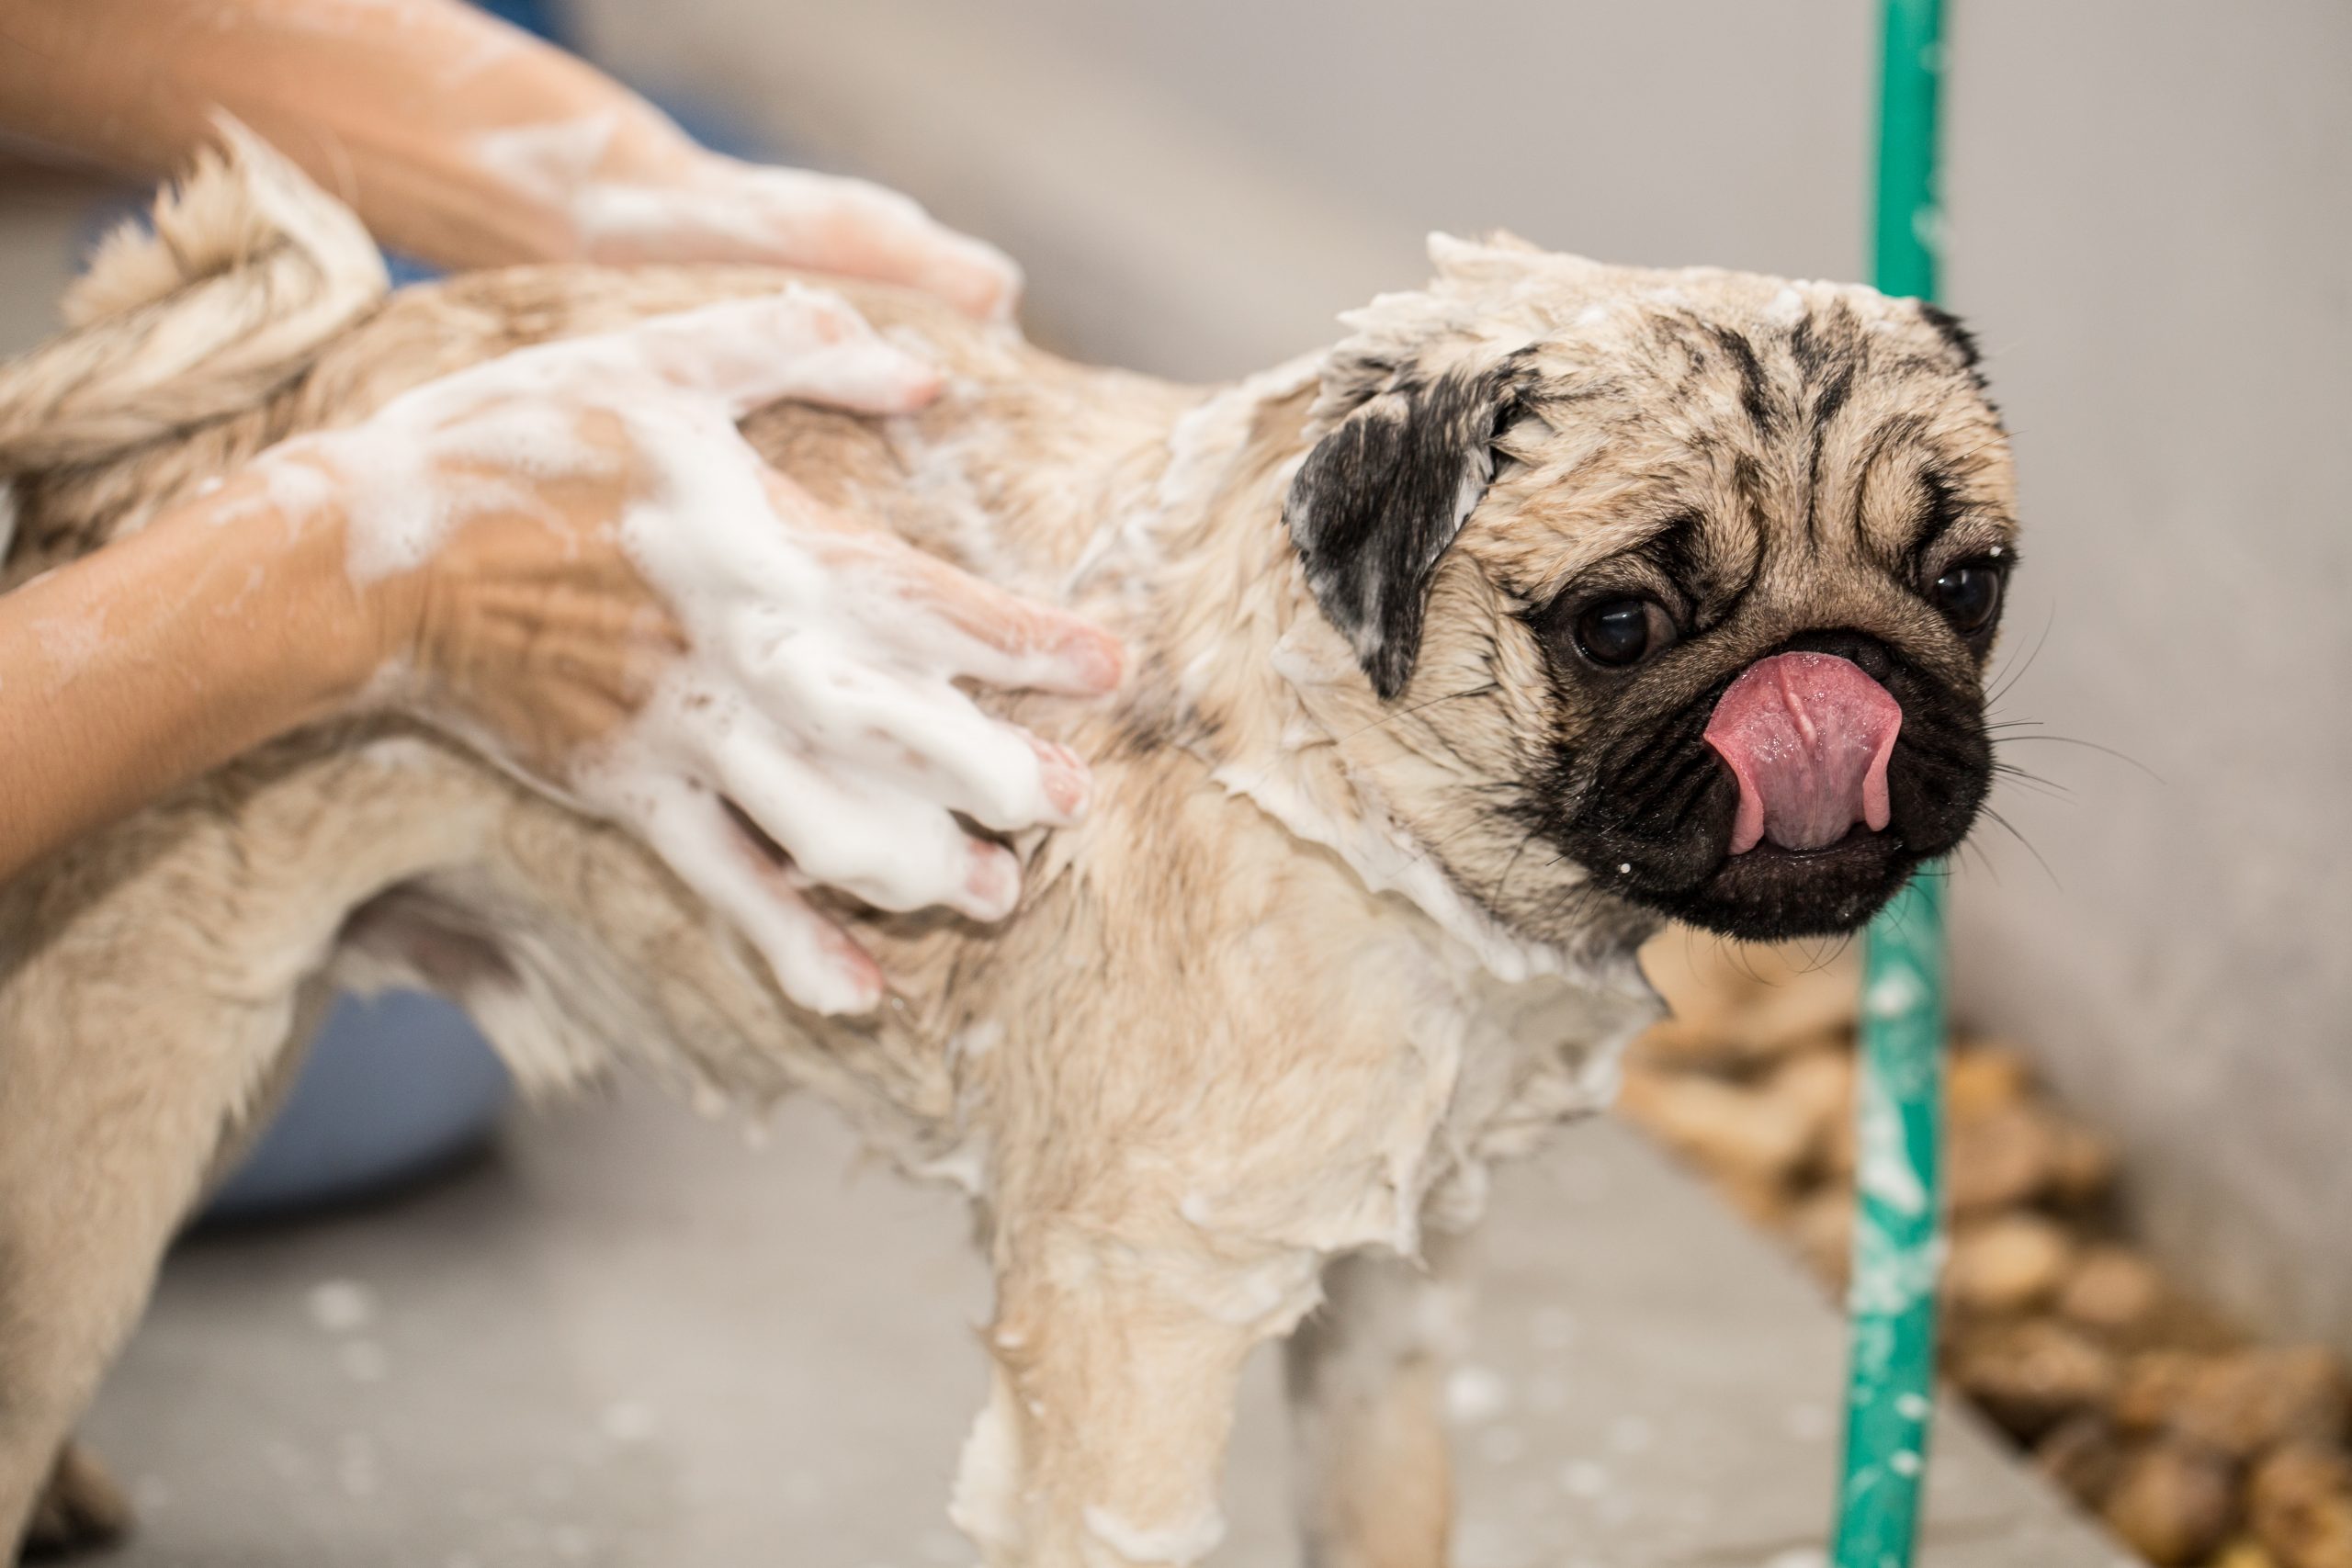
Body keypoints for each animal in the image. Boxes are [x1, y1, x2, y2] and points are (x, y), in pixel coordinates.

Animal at [5, 135, 2004, 1568]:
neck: (1365, 790)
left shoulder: (1385, 1311)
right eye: (1617, 623)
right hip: (121, 1084)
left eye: (1970, 581)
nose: (1831, 682)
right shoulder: (1139, 1331)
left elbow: (1389, 1512)